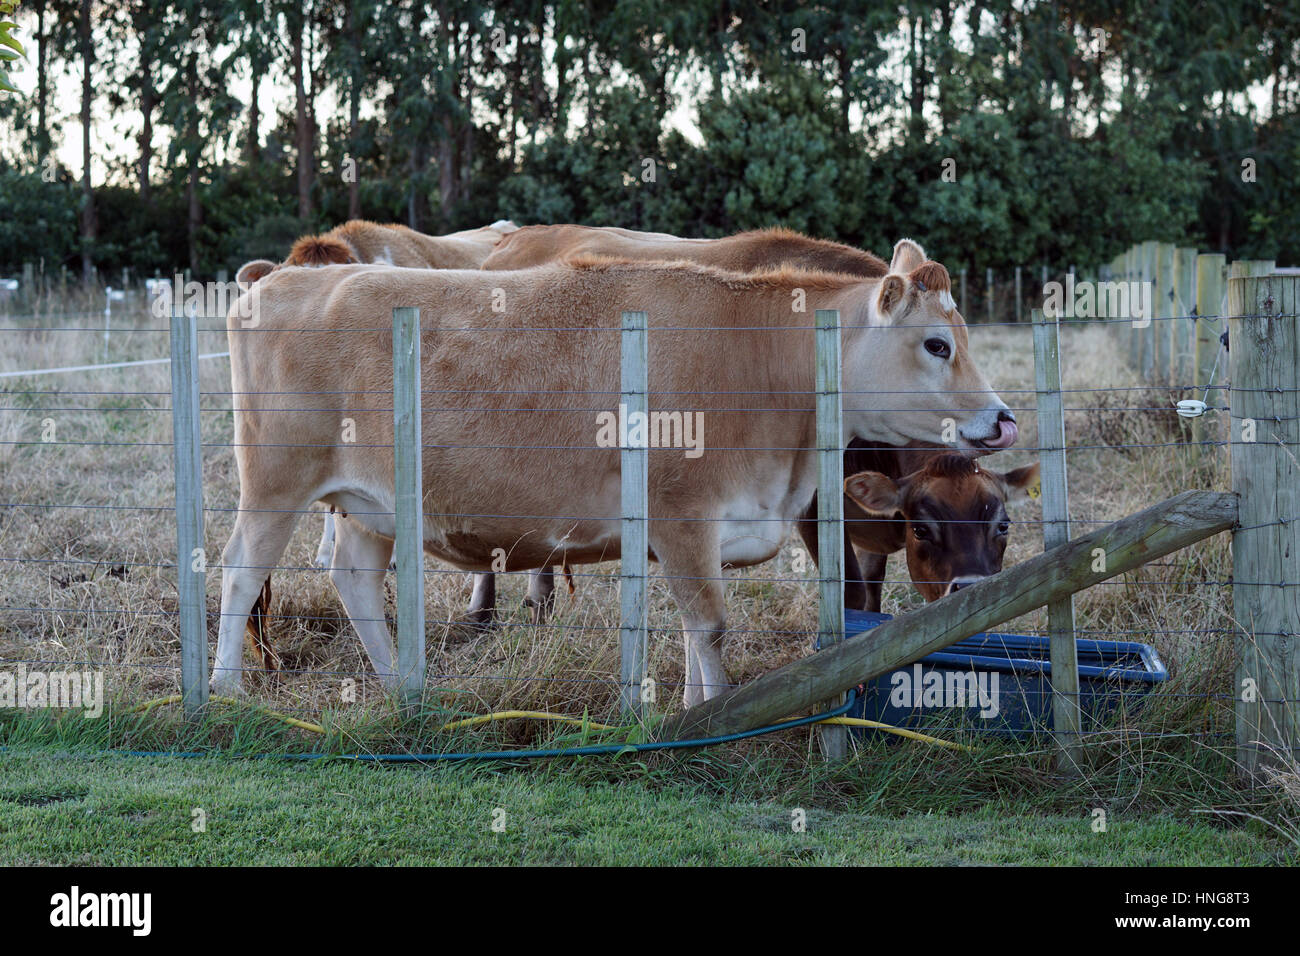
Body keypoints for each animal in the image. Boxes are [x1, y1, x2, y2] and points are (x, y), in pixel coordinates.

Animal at [216, 239, 1018, 706]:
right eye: (938, 344)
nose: (1004, 418)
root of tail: (278, 280)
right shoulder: (682, 515)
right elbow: (711, 625)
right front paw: (715, 719)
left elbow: (694, 631)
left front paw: (696, 708)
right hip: (276, 480)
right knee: (239, 570)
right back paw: (223, 691)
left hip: (370, 503)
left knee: (353, 577)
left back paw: (404, 689)